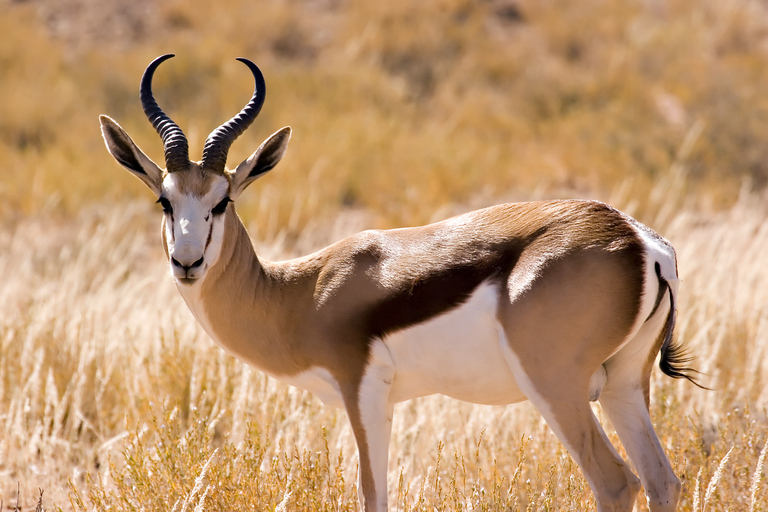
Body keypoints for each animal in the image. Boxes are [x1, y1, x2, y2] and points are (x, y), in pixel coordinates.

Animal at [100, 54, 696, 510]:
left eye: (222, 201)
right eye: (165, 200)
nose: (188, 262)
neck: (300, 294)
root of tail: (638, 239)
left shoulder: (361, 390)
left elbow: (373, 494)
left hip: (556, 386)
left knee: (616, 483)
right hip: (623, 386)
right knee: (663, 481)